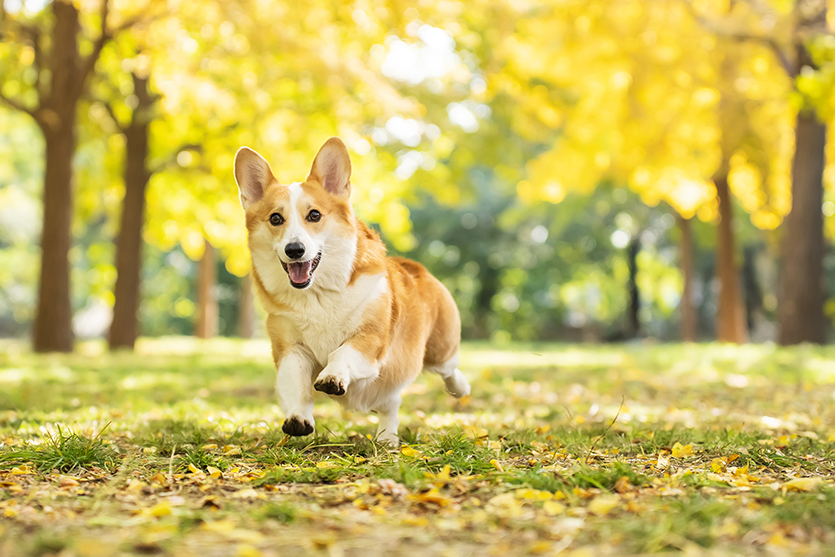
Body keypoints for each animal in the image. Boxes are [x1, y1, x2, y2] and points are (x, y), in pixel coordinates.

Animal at [233, 138, 470, 444]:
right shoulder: (290, 348)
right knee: (390, 405)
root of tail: (413, 266)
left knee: (449, 368)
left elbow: (341, 353)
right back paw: (387, 438)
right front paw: (298, 418)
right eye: (275, 218)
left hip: (439, 350)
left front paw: (332, 376)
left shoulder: (371, 339)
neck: (317, 295)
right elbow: (295, 383)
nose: (294, 250)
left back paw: (460, 389)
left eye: (314, 215)